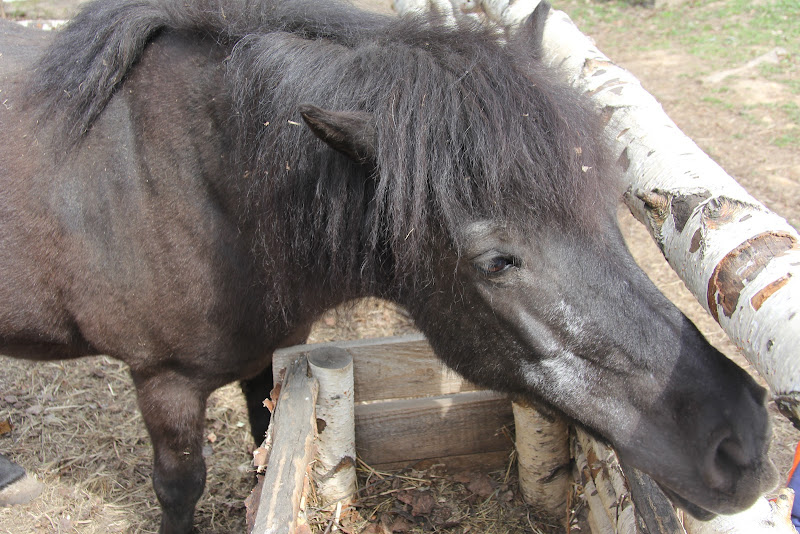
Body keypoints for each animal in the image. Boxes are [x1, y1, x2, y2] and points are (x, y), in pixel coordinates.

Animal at [0, 0, 776, 532]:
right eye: (497, 261)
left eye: (608, 214)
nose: (740, 441)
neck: (201, 186)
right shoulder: (164, 382)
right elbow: (179, 488)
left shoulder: (267, 358)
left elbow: (261, 448)